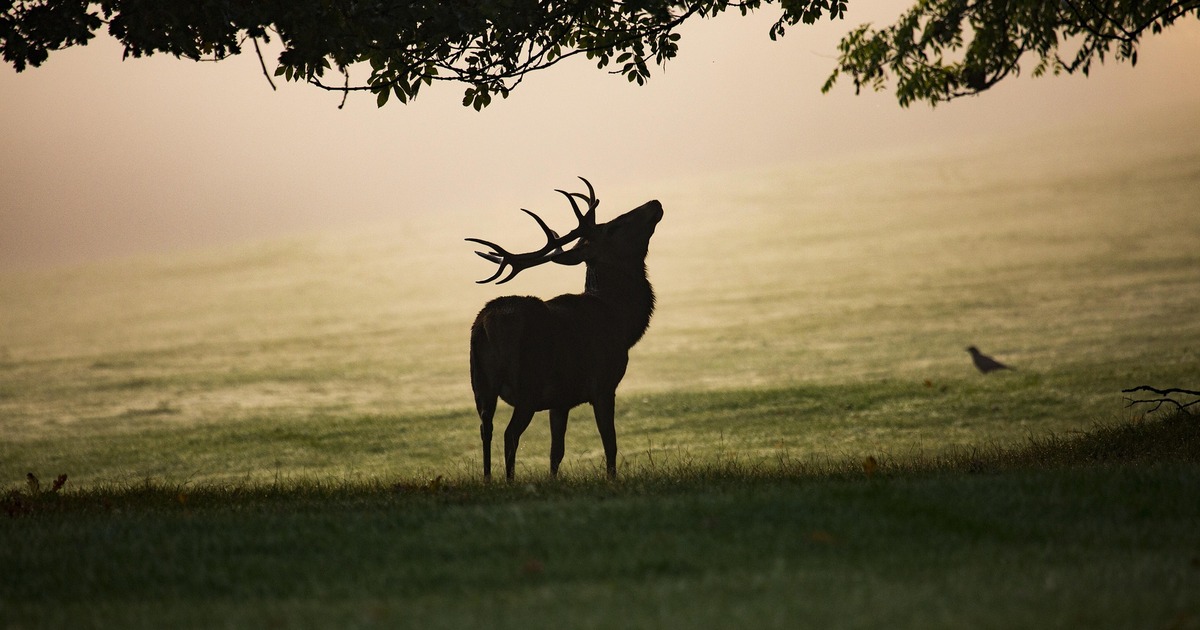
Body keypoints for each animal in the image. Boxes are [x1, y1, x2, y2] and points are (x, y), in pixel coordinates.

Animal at [467, 177, 663, 481]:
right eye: (613, 227)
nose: (654, 203)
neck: (621, 320)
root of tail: (486, 325)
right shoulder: (603, 383)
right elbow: (611, 443)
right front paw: (611, 479)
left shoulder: (560, 400)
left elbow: (555, 452)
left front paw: (553, 480)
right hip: (528, 383)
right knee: (509, 434)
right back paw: (509, 481)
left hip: (481, 383)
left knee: (485, 429)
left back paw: (488, 480)